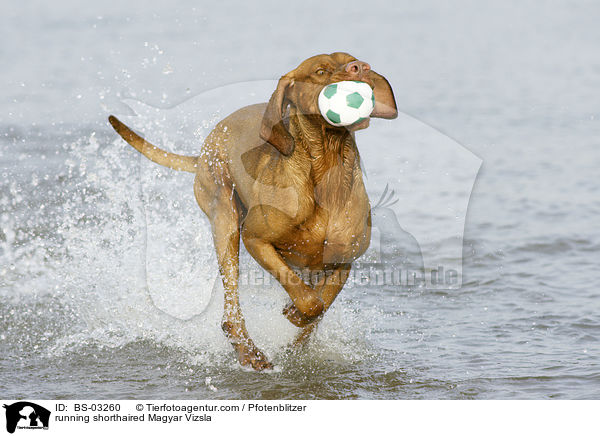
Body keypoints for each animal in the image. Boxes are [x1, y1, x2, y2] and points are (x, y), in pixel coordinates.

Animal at [109, 52, 398, 372]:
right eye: (320, 71)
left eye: (354, 60)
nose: (360, 68)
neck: (327, 171)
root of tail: (205, 148)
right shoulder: (255, 239)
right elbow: (307, 298)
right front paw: (298, 310)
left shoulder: (343, 258)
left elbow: (322, 302)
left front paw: (297, 320)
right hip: (225, 221)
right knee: (231, 312)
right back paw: (249, 353)